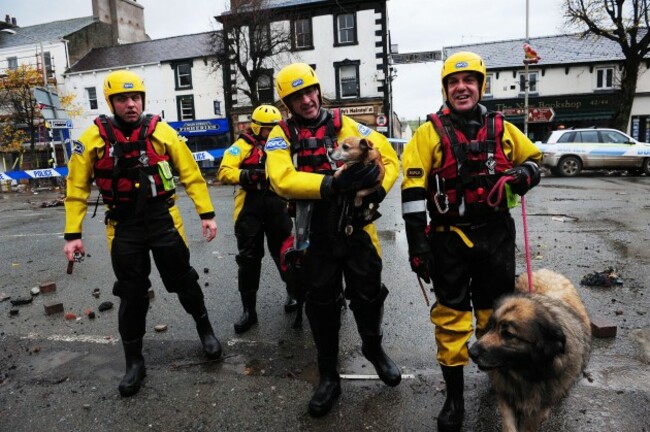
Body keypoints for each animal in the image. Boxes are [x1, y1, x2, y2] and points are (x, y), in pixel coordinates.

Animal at [468, 268, 588, 430]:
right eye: (491, 325)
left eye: (508, 334)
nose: (471, 353)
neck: (525, 373)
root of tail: (546, 271)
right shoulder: (506, 395)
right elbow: (508, 425)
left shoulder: (540, 407)